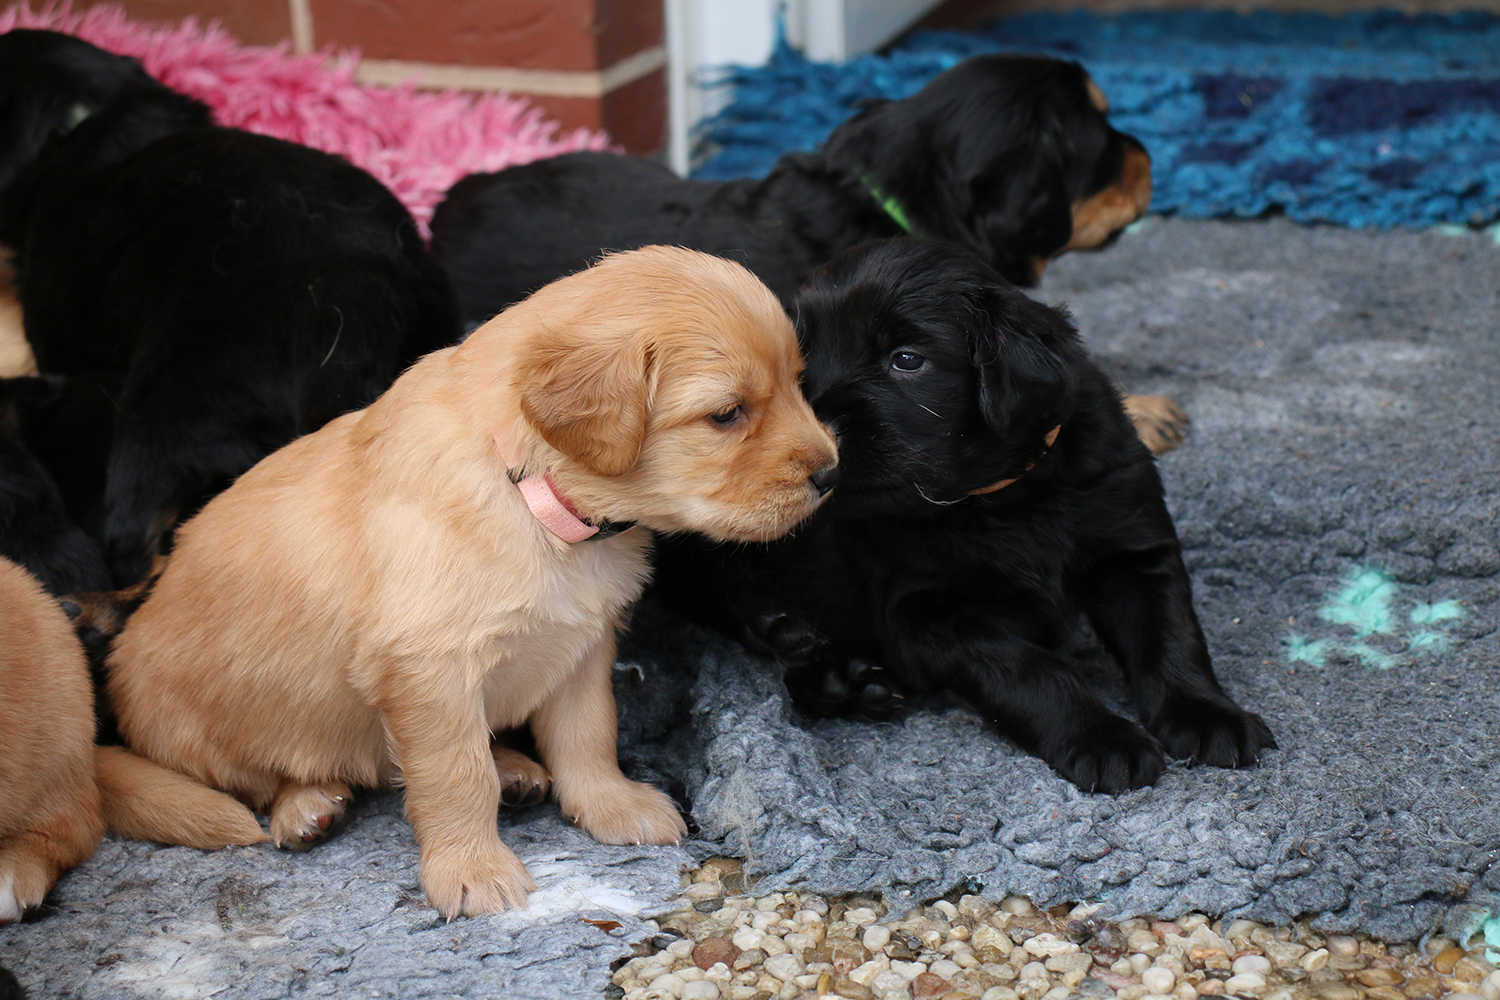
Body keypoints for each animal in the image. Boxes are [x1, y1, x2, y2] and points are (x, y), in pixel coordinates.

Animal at [100, 246, 838, 917]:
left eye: (798, 383)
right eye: (727, 414)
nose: (832, 472)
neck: (532, 493)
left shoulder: (581, 645)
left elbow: (588, 733)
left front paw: (611, 803)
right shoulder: (429, 668)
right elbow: (456, 775)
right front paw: (471, 868)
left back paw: (513, 770)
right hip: (196, 728)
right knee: (262, 780)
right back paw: (306, 805)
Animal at [654, 240, 1275, 793]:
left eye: (907, 360)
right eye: (799, 374)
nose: (817, 445)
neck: (1003, 500)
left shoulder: (1132, 545)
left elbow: (1170, 635)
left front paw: (1207, 716)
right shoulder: (927, 614)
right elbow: (1032, 670)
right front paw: (1103, 739)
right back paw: (796, 641)